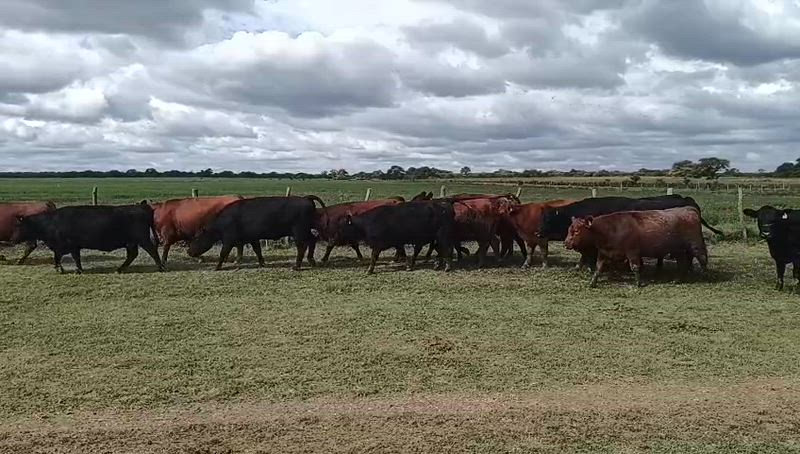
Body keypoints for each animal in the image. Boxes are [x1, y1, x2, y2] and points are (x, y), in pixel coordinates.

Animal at [9, 201, 164, 274]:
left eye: (18, 226)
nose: (11, 240)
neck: (51, 223)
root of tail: (143, 207)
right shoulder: (72, 246)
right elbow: (74, 258)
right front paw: (76, 269)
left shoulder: (66, 245)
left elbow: (61, 257)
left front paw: (63, 269)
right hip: (131, 242)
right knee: (132, 255)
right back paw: (119, 269)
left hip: (143, 239)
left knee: (152, 251)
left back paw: (160, 267)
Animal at [187, 195, 324, 271]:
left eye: (196, 238)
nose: (188, 251)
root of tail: (306, 198)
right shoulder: (252, 238)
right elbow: (257, 250)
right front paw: (262, 263)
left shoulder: (228, 240)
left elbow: (223, 253)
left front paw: (217, 267)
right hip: (305, 231)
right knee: (312, 240)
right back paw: (311, 261)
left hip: (298, 232)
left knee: (302, 247)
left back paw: (297, 266)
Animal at [564, 207, 709, 287]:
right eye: (569, 229)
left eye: (576, 231)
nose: (566, 243)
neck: (611, 228)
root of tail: (689, 209)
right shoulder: (603, 252)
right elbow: (598, 269)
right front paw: (592, 283)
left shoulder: (632, 252)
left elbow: (635, 267)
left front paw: (639, 284)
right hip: (678, 250)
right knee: (682, 263)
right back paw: (678, 280)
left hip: (695, 244)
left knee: (702, 259)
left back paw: (705, 277)